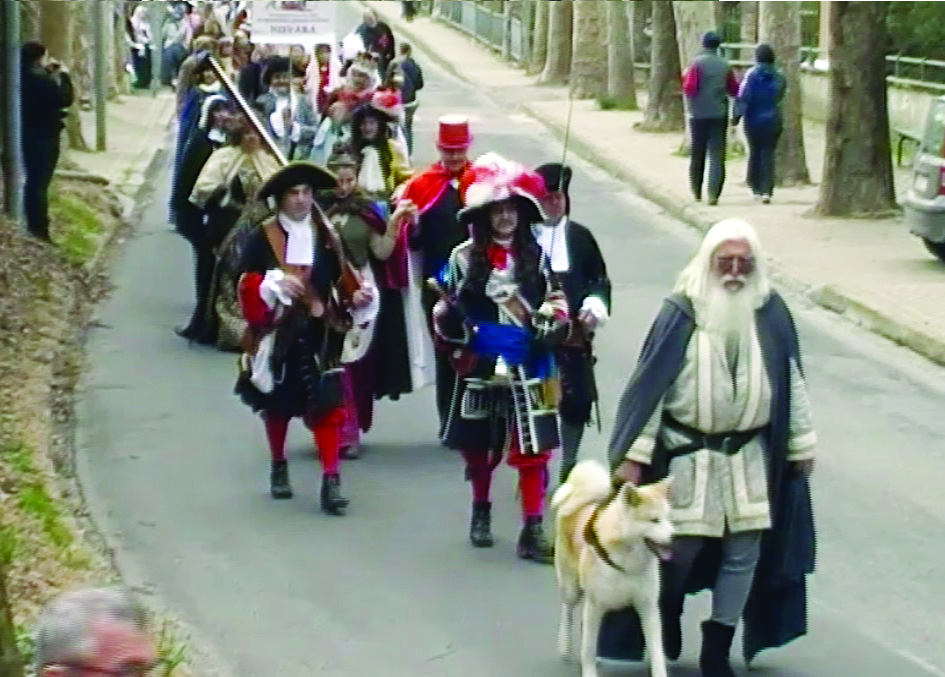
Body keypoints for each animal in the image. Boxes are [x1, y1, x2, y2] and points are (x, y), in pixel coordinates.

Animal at [548, 460, 676, 676]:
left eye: (668, 518)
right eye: (654, 520)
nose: (675, 537)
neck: (629, 562)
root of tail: (577, 504)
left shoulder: (648, 605)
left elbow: (657, 650)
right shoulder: (595, 604)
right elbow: (588, 646)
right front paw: (589, 671)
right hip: (572, 588)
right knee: (568, 610)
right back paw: (565, 646)